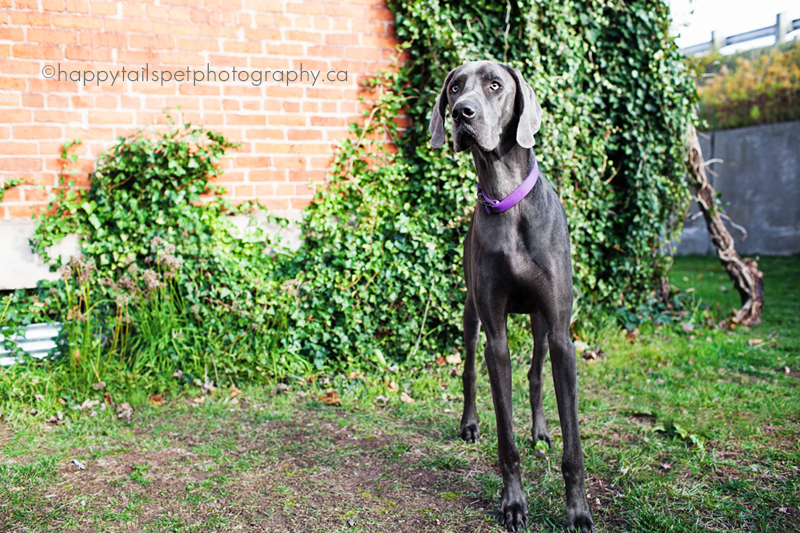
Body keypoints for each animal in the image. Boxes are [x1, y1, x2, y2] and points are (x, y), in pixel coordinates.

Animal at [432, 60, 592, 528]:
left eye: (495, 85)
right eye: (454, 88)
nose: (461, 113)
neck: (508, 201)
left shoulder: (561, 333)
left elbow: (573, 445)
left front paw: (578, 511)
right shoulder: (495, 334)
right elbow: (506, 439)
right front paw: (514, 504)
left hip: (539, 322)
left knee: (536, 375)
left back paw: (540, 431)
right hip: (470, 313)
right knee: (468, 371)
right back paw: (469, 424)